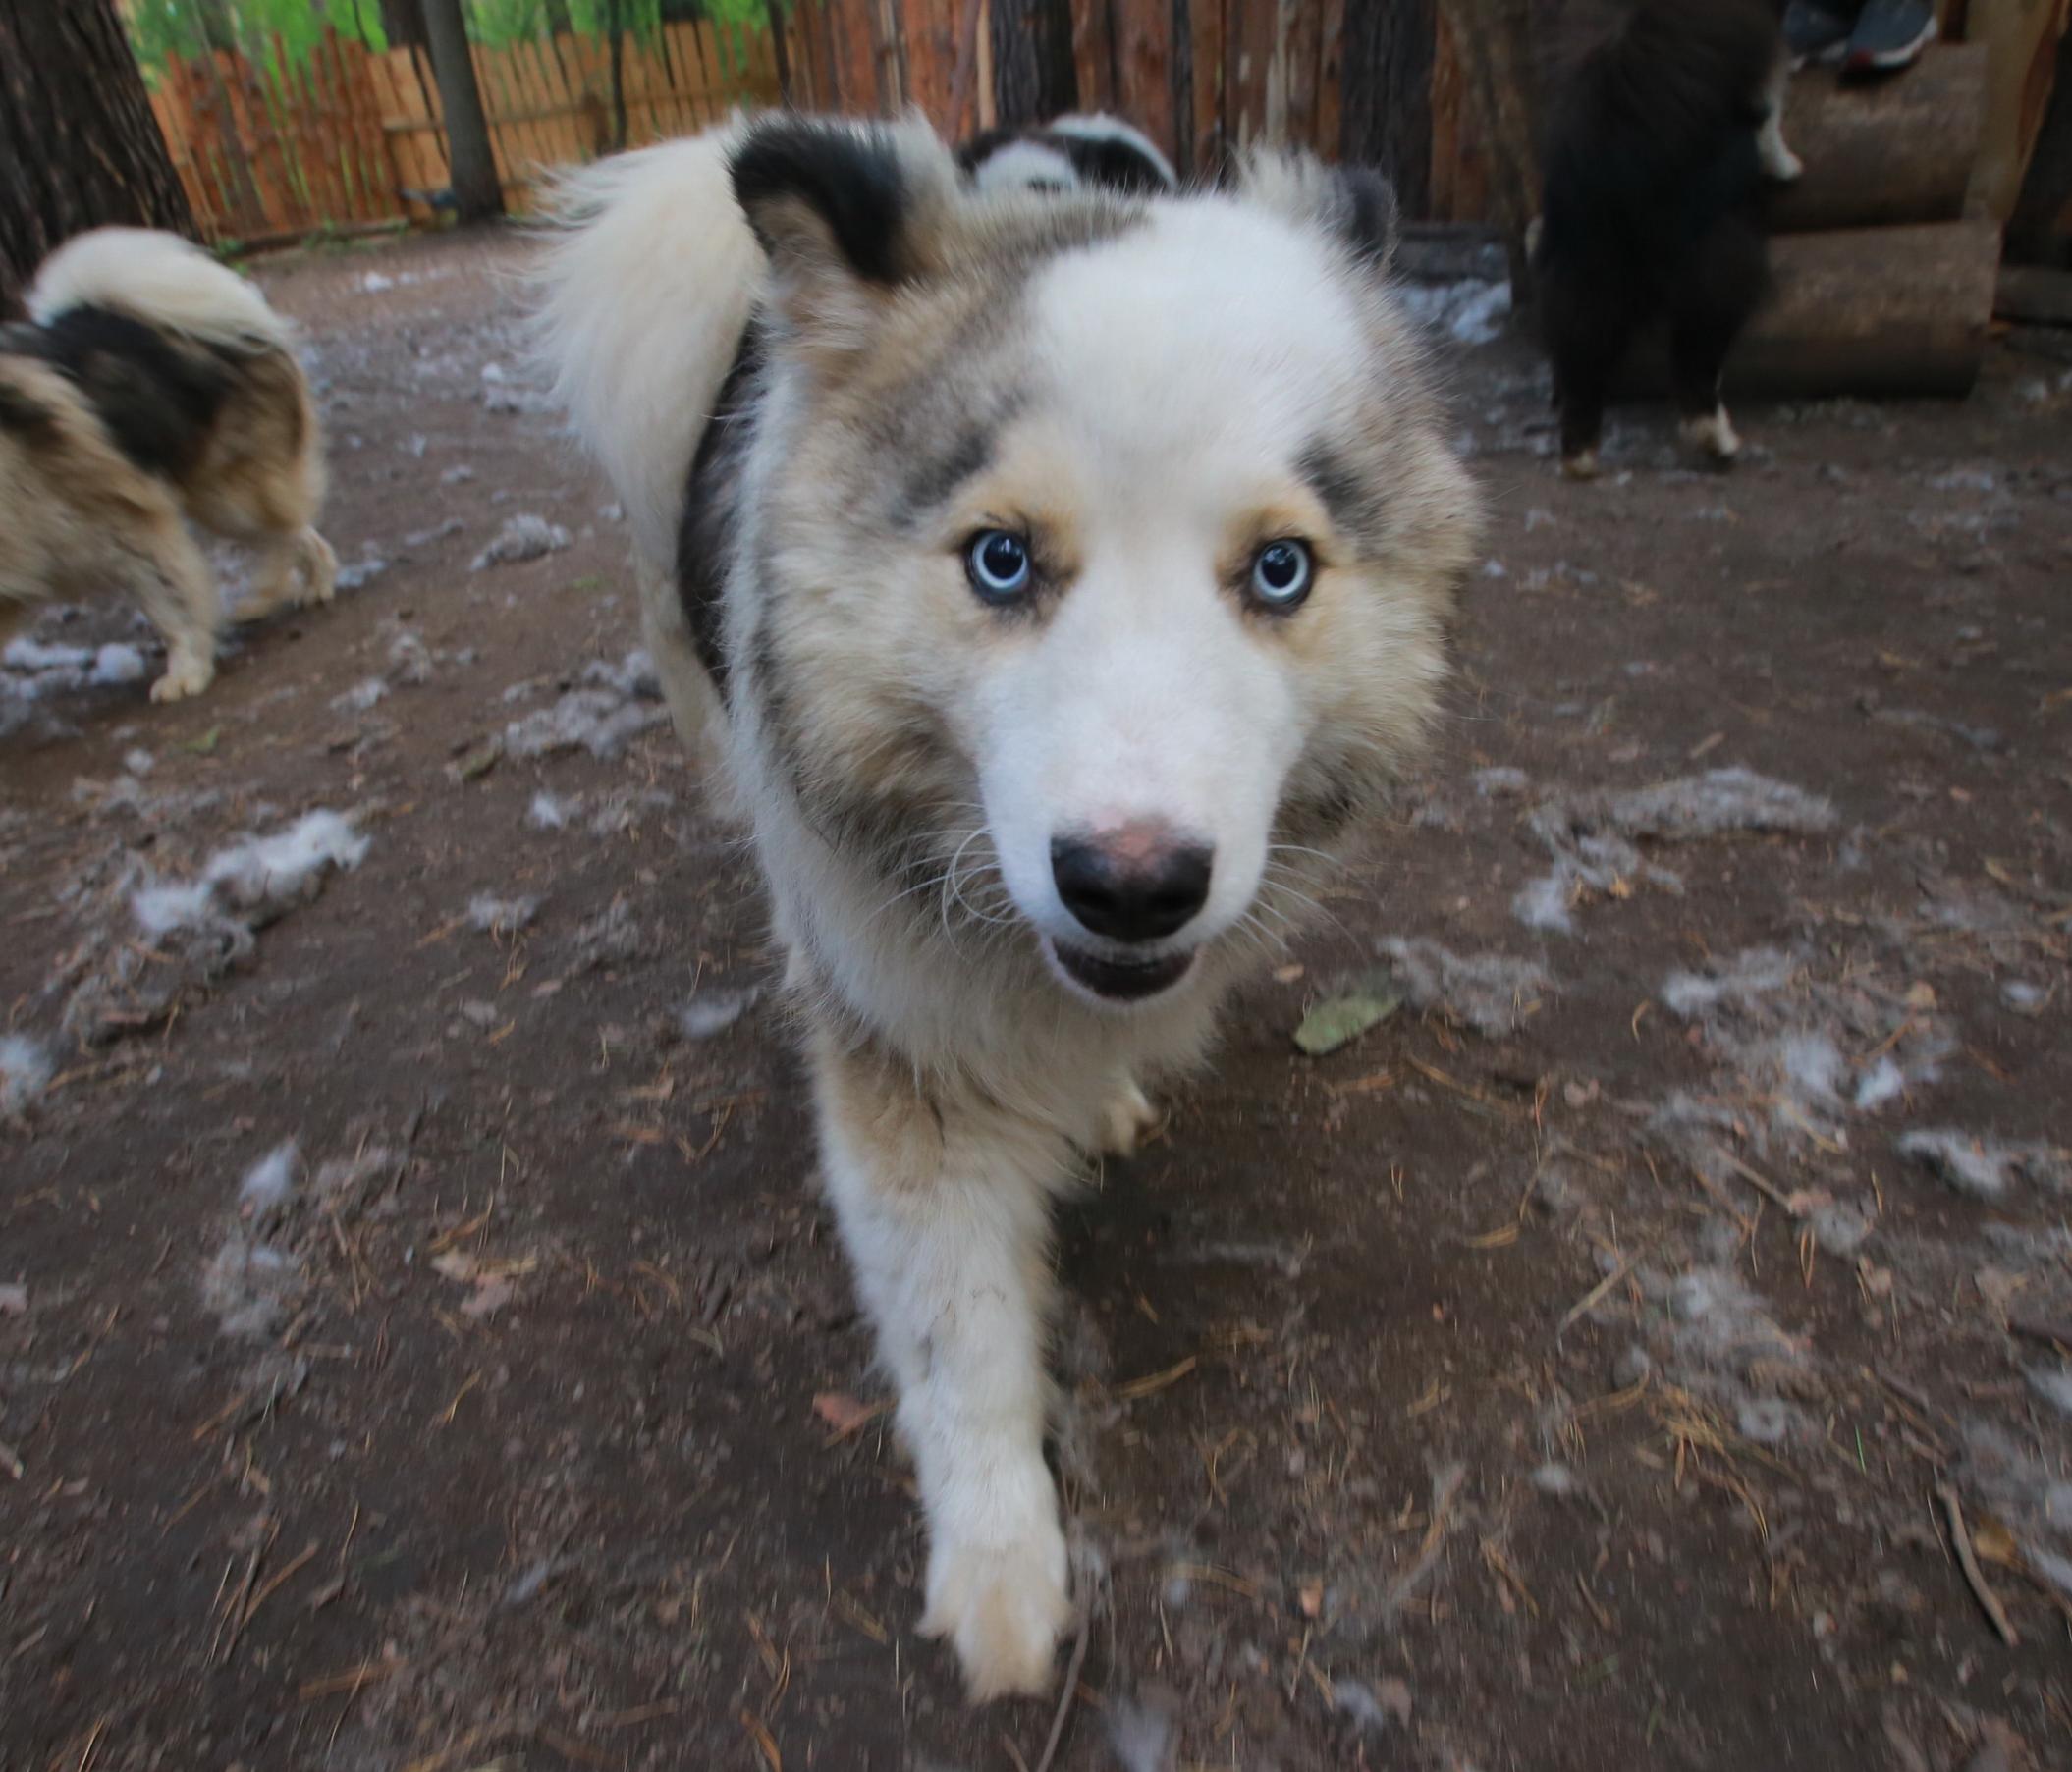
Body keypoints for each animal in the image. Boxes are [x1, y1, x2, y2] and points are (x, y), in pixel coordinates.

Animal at [3, 230, 335, 709]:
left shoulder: (128, 525)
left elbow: (170, 607)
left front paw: (187, 671)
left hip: (227, 497)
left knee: (286, 530)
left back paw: (280, 589)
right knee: (294, 531)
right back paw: (296, 587)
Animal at [534, 114, 1475, 1707]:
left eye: (1278, 568)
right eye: (1001, 558)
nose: (1131, 881)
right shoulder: (901, 1057)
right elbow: (955, 1327)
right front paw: (998, 1567)